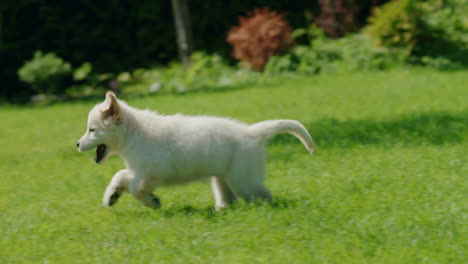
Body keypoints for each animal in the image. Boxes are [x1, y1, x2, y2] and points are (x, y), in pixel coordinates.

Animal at [77, 92, 314, 209]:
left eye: (92, 130)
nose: (77, 145)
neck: (134, 133)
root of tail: (251, 133)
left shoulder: (152, 172)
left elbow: (136, 188)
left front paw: (152, 202)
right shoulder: (139, 170)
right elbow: (120, 176)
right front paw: (112, 196)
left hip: (243, 180)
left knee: (263, 195)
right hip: (223, 179)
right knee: (229, 199)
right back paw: (222, 212)